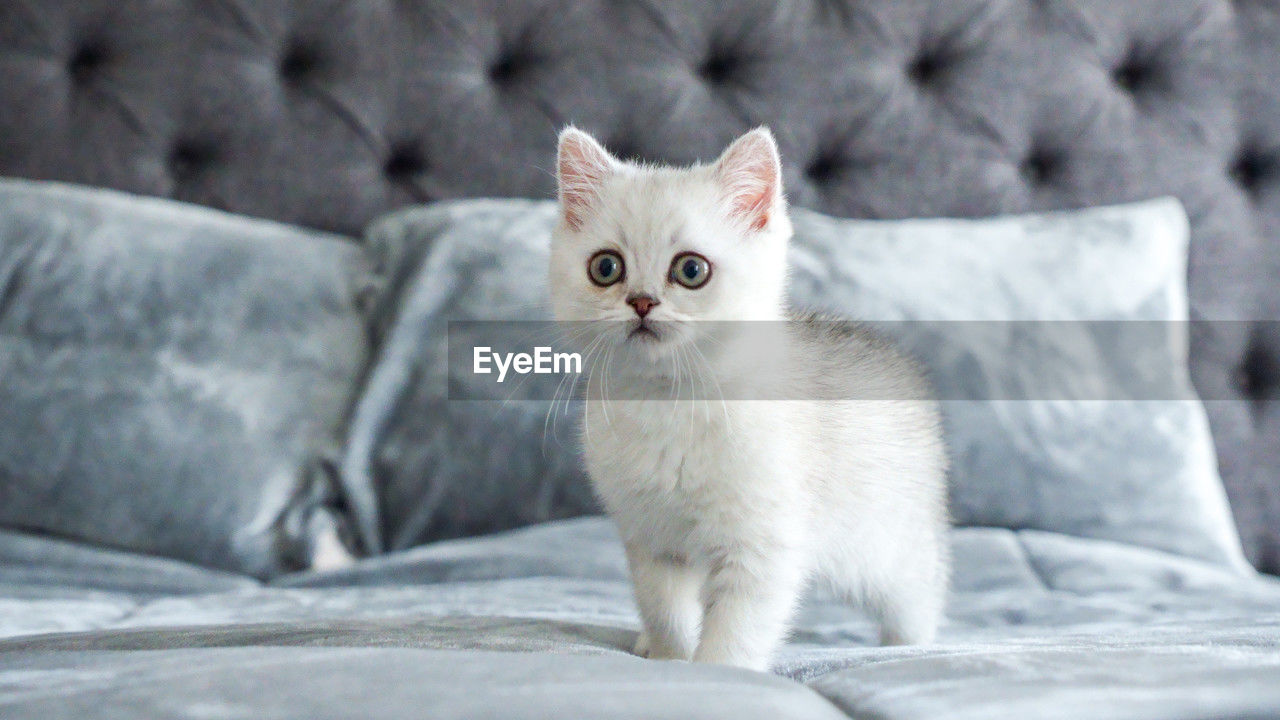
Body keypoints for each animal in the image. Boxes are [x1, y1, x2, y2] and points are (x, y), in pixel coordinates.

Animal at [545, 126, 947, 671]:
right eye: (605, 267)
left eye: (691, 270)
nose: (642, 302)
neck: (670, 404)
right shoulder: (653, 540)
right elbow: (666, 612)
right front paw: (669, 659)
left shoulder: (762, 543)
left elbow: (735, 630)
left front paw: (719, 673)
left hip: (886, 543)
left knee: (919, 590)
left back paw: (910, 646)